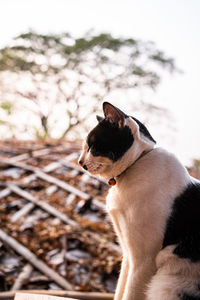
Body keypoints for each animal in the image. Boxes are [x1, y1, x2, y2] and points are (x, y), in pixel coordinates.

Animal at [77, 102, 200, 298]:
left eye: (93, 147)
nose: (80, 162)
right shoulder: (128, 254)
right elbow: (120, 289)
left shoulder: (143, 260)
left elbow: (130, 293)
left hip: (165, 284)